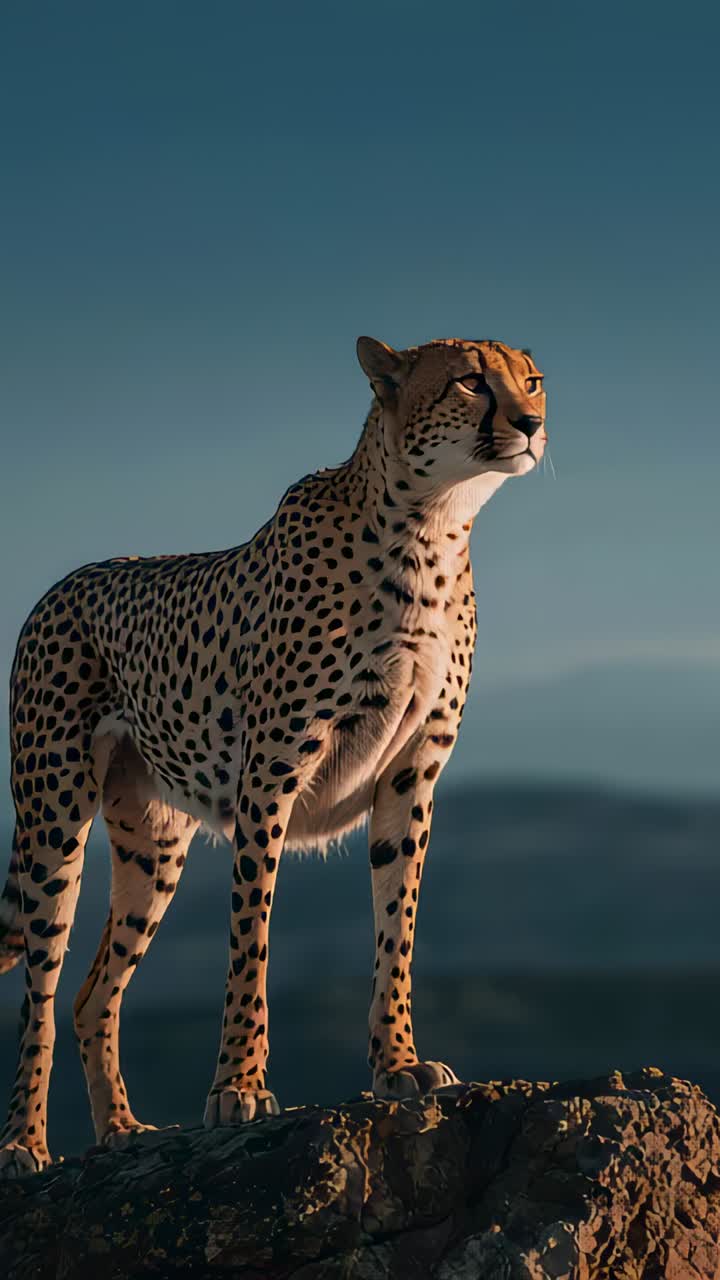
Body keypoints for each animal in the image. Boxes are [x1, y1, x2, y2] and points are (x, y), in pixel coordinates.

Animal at [0, 334, 546, 1176]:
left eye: (532, 380)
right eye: (468, 381)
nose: (530, 423)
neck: (431, 528)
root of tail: (64, 582)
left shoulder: (409, 776)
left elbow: (397, 928)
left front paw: (398, 1063)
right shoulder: (271, 777)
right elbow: (250, 941)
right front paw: (239, 1089)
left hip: (154, 845)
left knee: (94, 995)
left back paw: (122, 1131)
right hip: (53, 822)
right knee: (42, 998)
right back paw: (25, 1142)